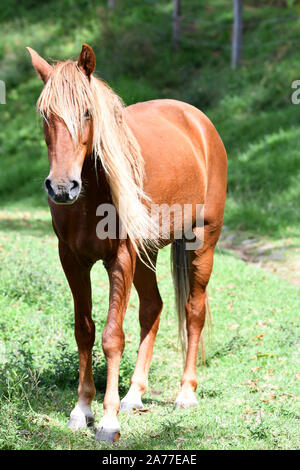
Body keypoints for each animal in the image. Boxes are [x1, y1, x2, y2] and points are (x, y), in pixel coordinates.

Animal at [26, 42, 227, 442]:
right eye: (45, 115)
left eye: (87, 112)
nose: (62, 187)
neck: (91, 195)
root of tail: (197, 121)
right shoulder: (72, 261)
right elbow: (84, 331)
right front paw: (82, 409)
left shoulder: (120, 258)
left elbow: (111, 336)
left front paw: (108, 420)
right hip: (146, 254)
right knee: (153, 308)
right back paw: (134, 394)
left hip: (201, 244)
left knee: (193, 311)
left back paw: (186, 393)